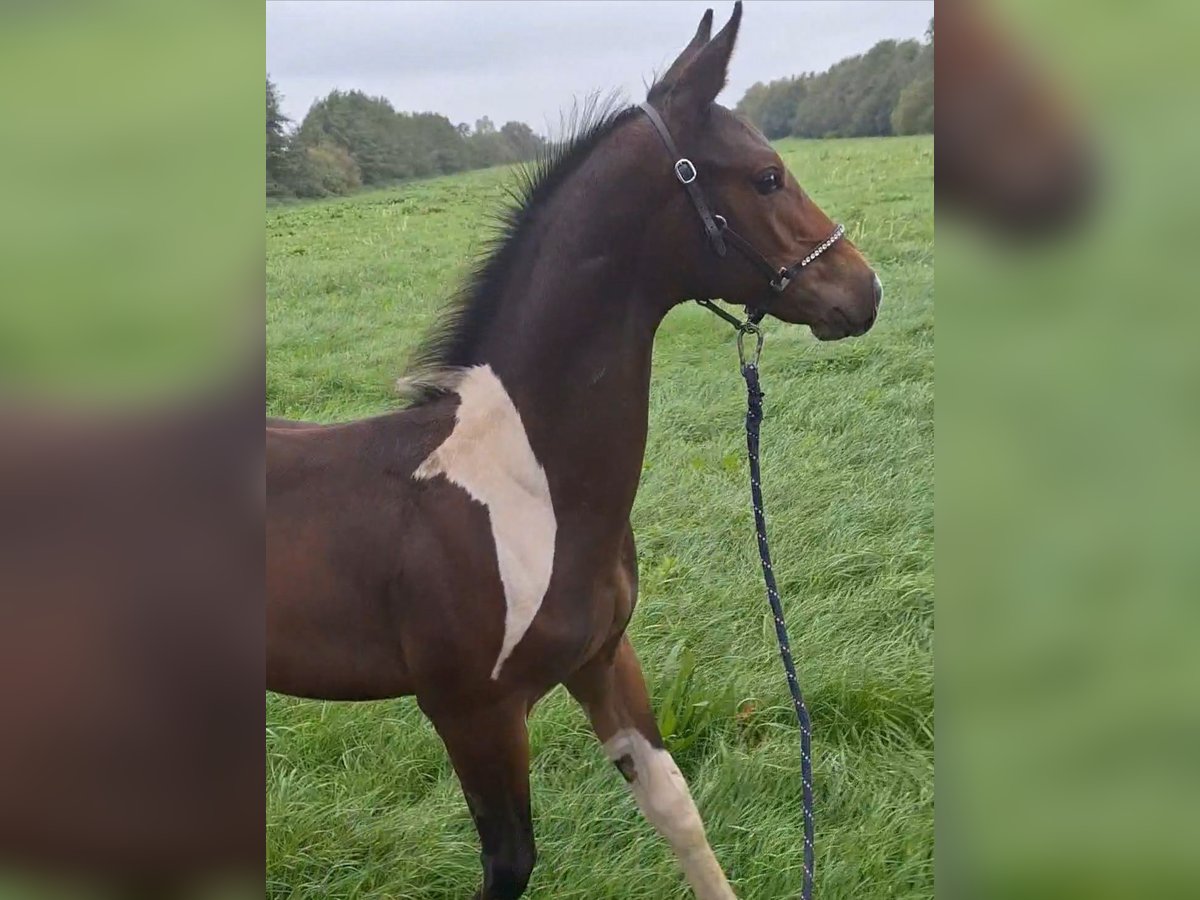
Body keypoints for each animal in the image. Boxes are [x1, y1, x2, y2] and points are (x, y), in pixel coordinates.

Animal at [265, 5, 883, 897]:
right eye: (767, 177)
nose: (865, 290)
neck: (526, 488)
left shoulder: (603, 658)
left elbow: (677, 807)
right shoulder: (472, 712)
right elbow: (510, 864)